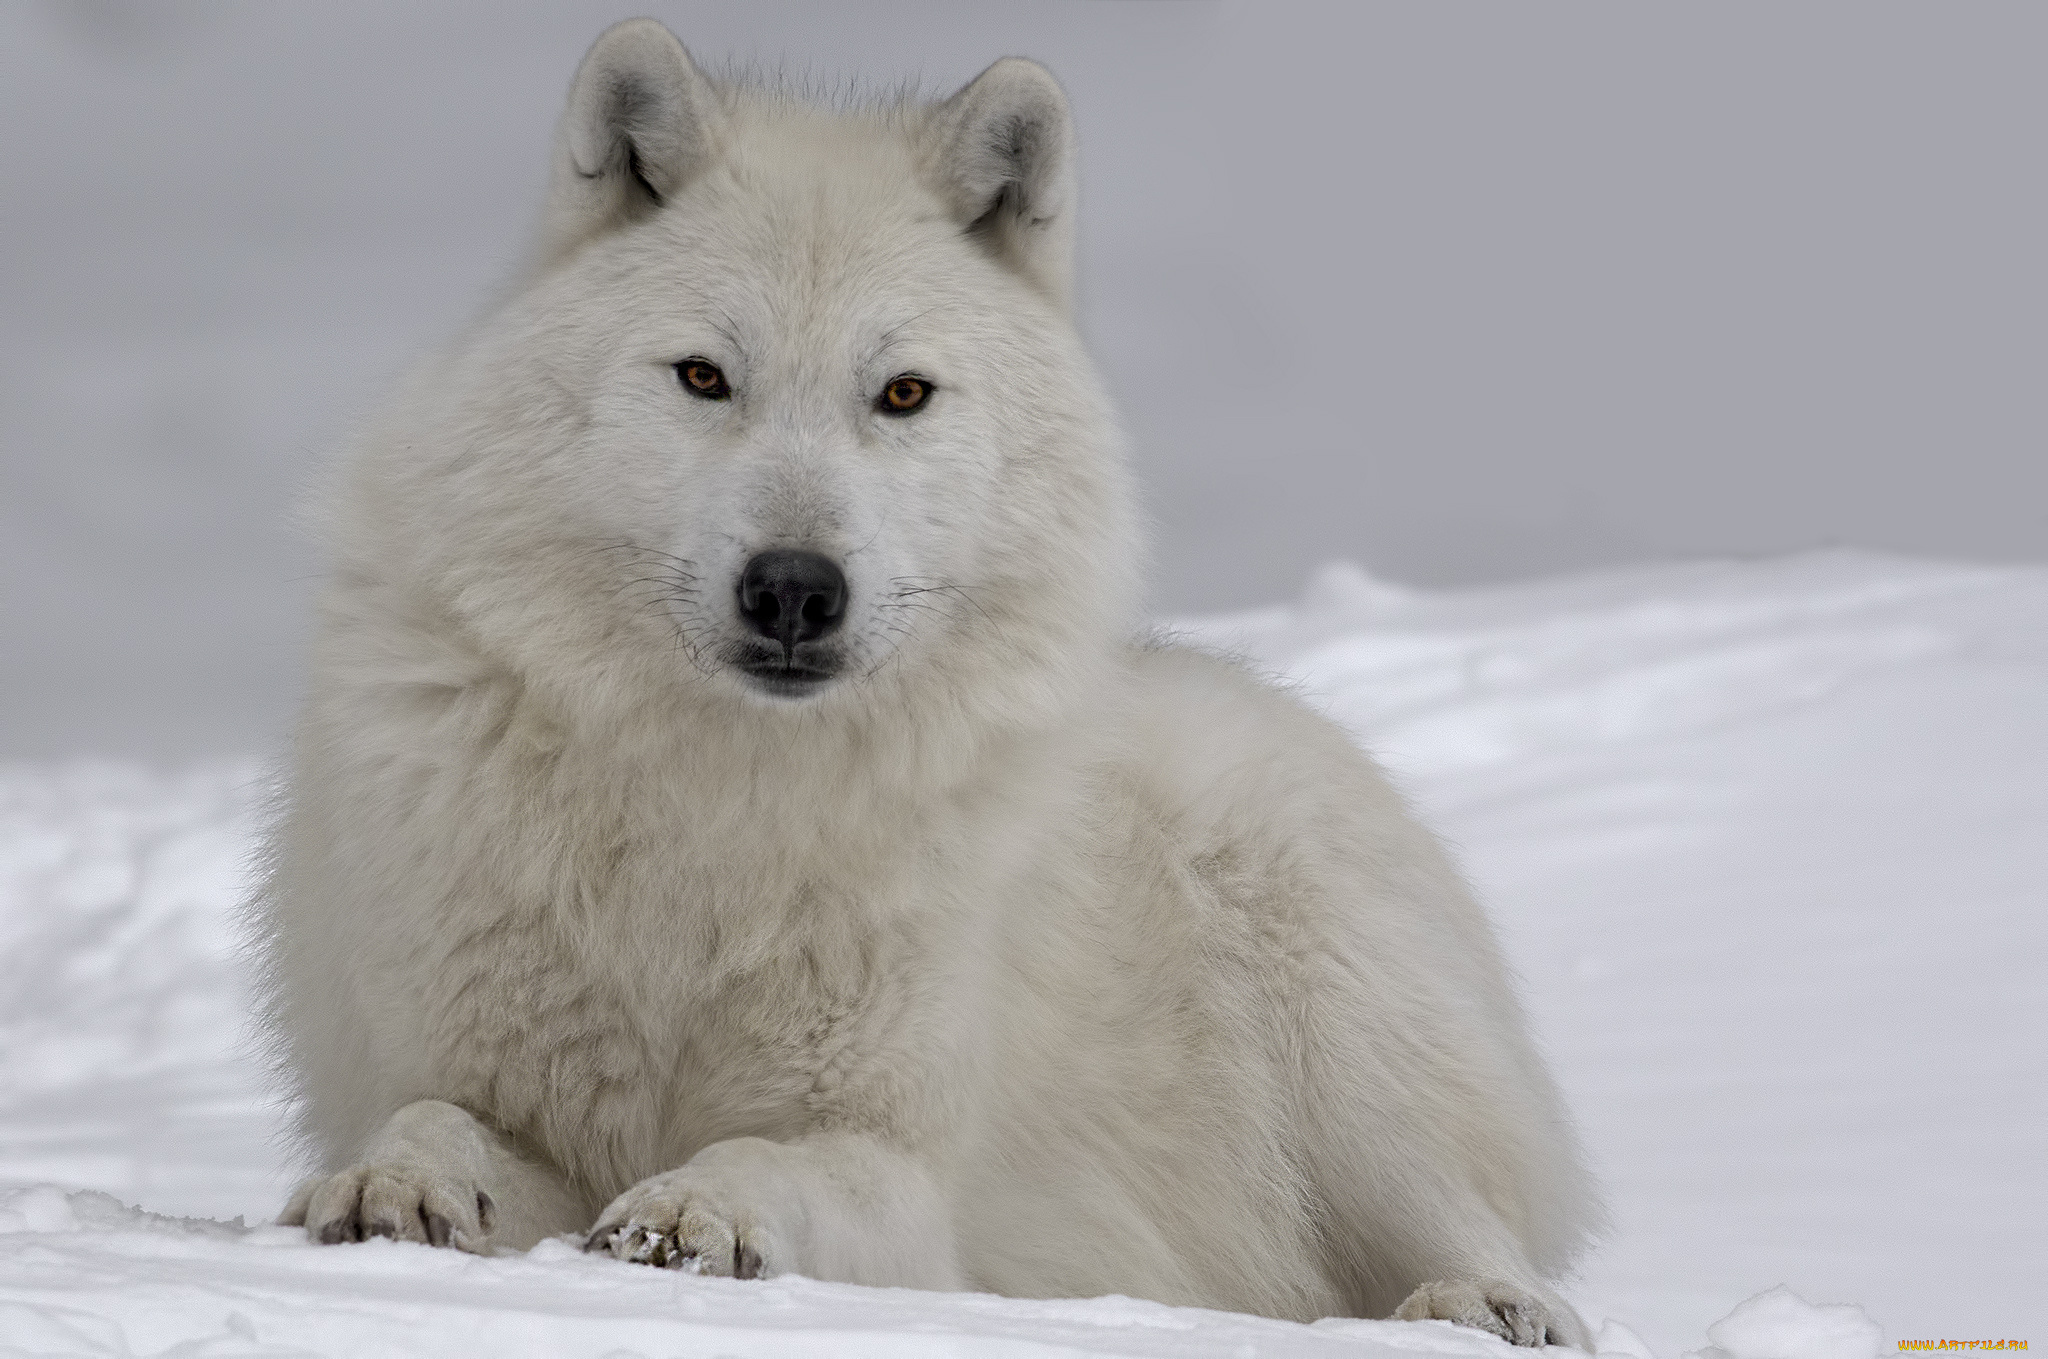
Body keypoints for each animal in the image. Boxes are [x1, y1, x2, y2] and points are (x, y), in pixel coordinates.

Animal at [251, 21, 1597, 1350]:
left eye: (901, 394)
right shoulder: (490, 1095)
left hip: (1331, 1013)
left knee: (1474, 1232)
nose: (794, 591)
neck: (719, 814)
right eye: (702, 377)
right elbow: (434, 1118)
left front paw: (692, 1212)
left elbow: (767, 1159)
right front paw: (390, 1185)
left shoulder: (904, 1178)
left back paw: (1484, 1310)